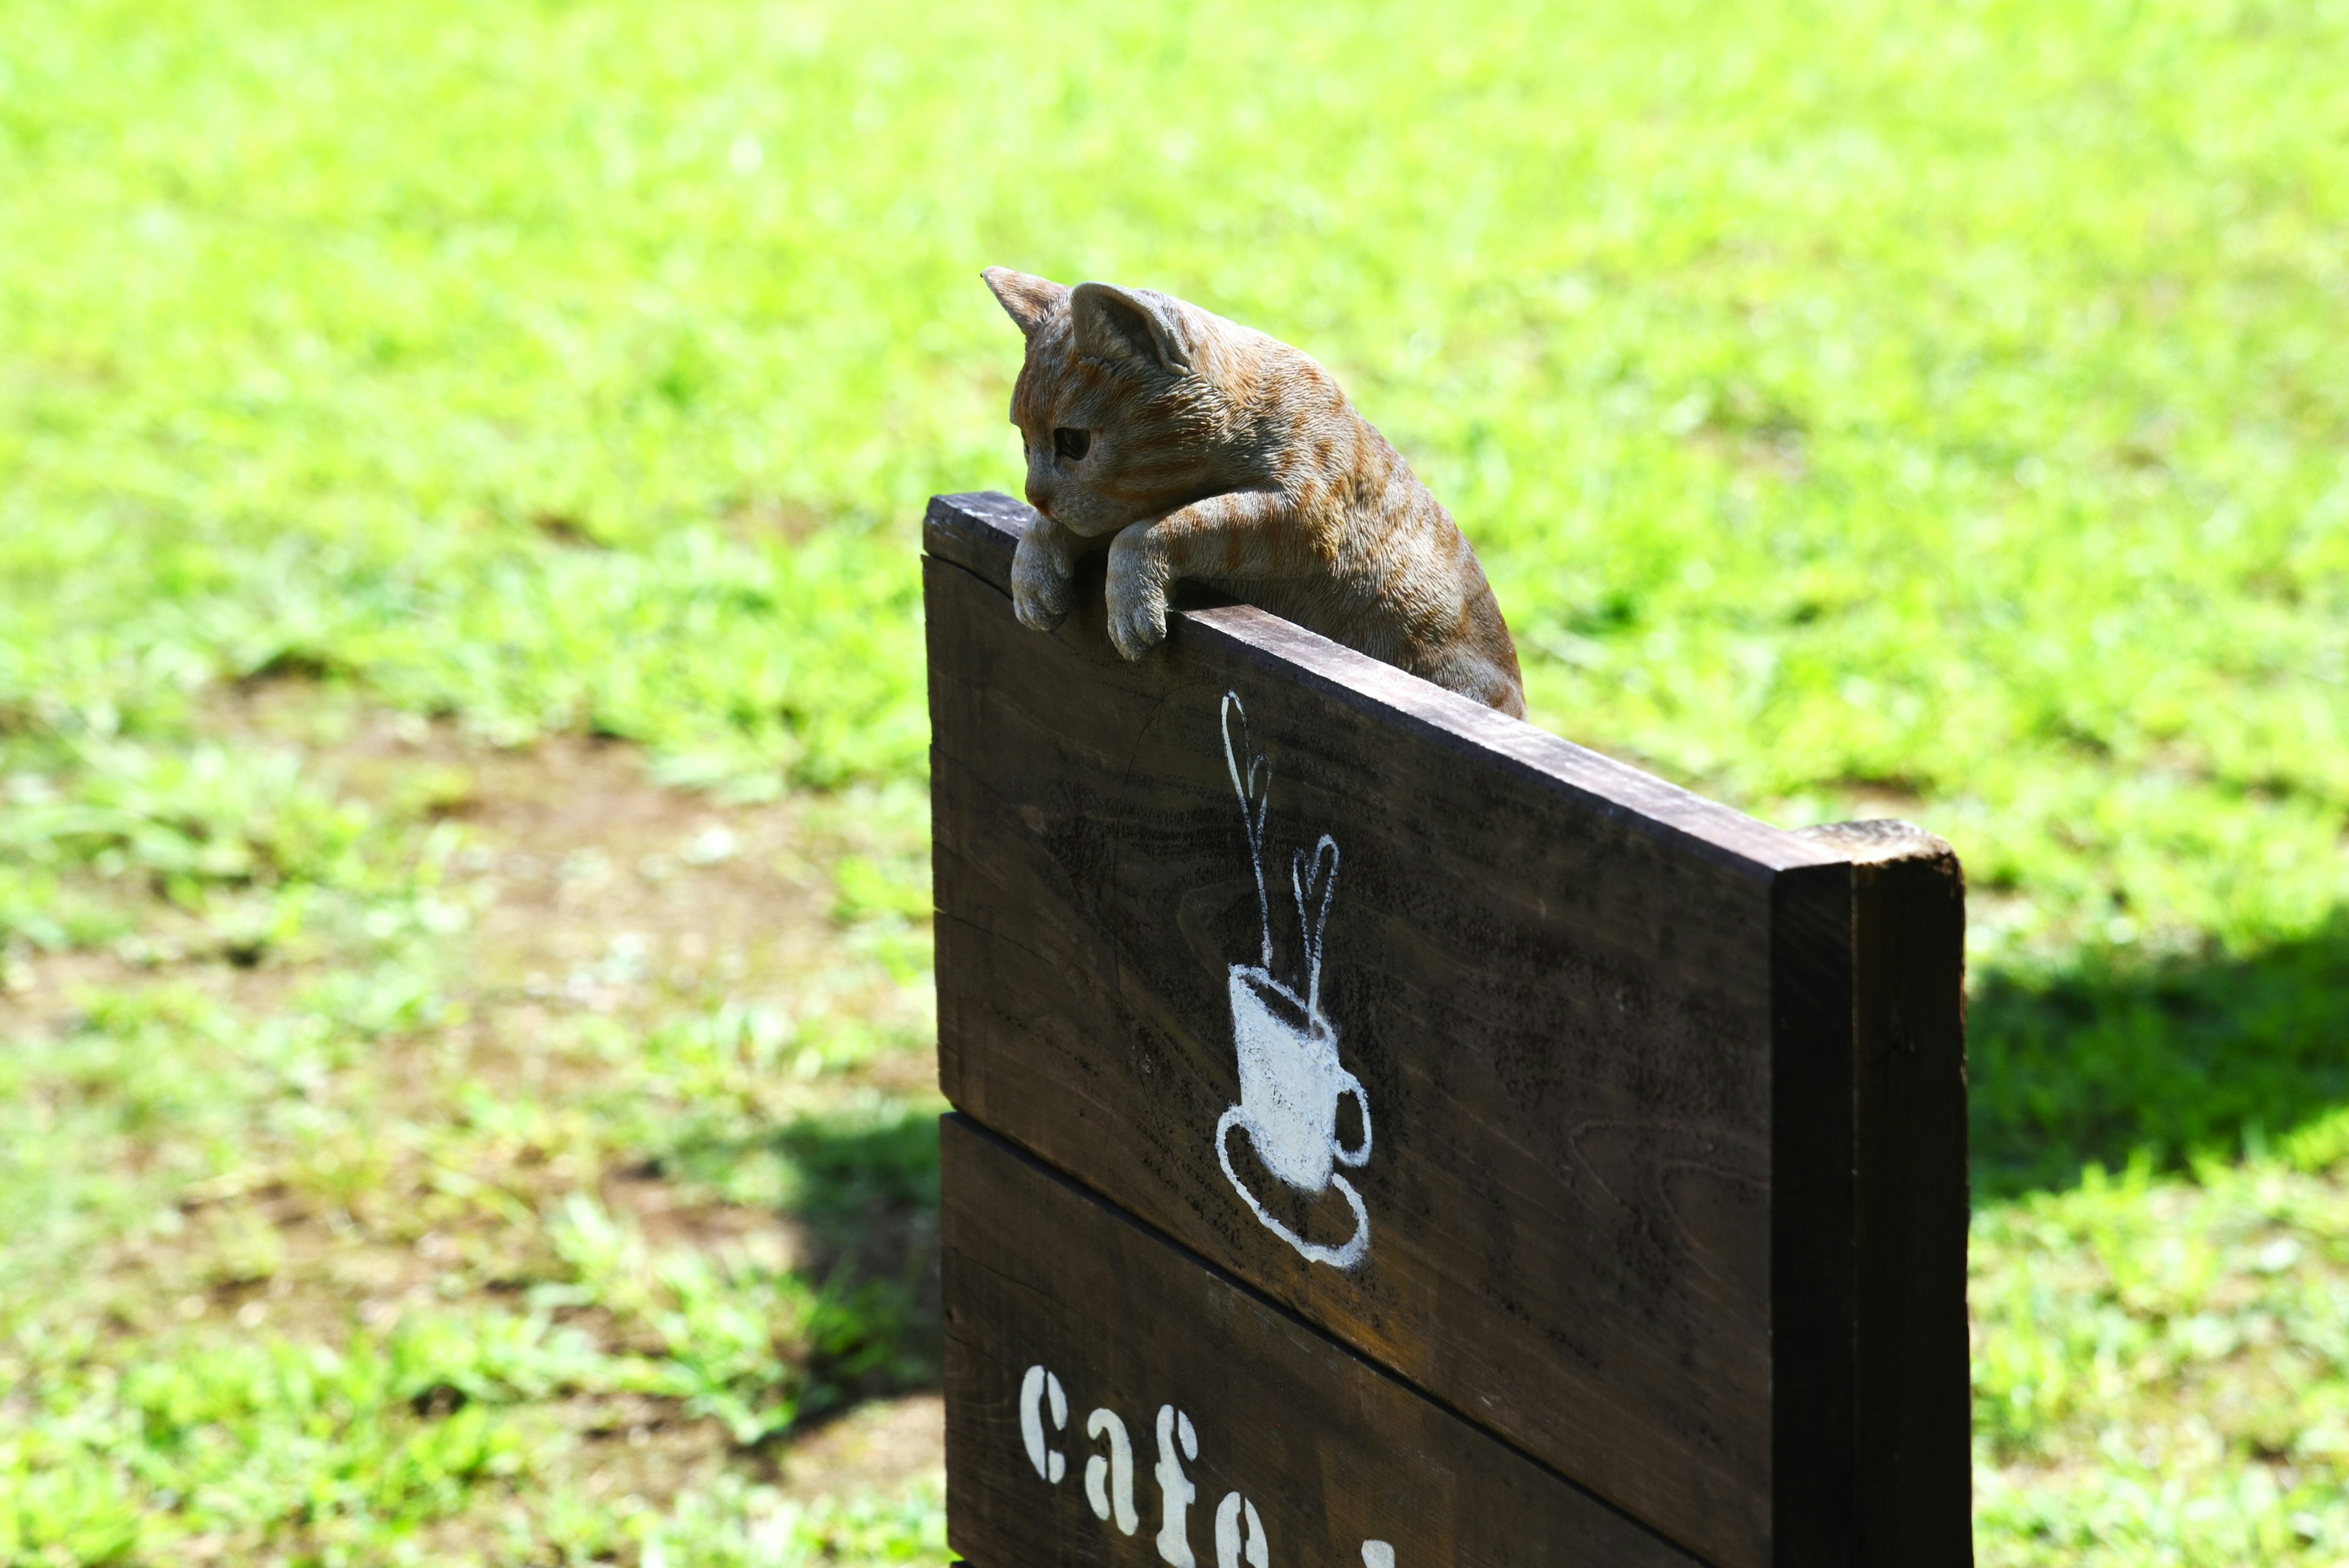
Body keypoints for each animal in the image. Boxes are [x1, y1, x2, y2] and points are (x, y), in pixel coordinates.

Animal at [972, 268, 1522, 719]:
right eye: (1024, 441)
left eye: (1074, 443)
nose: (1034, 494)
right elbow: (1080, 526)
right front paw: (1032, 574)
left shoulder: (1301, 514)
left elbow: (1155, 530)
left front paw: (1129, 603)